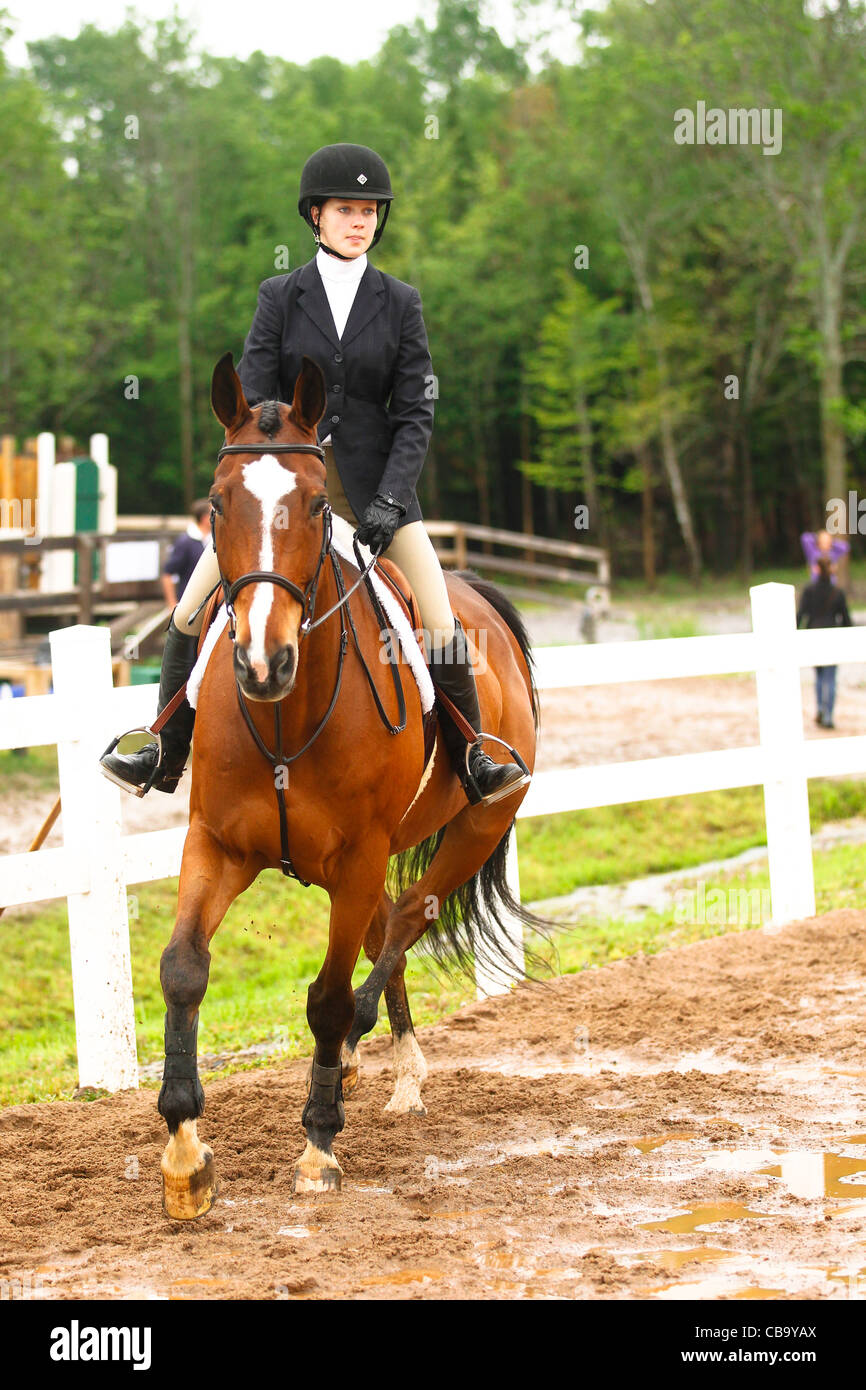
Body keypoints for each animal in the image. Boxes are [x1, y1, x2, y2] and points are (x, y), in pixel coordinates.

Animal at [157, 351, 540, 1218]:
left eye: (313, 503)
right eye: (218, 504)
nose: (261, 663)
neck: (285, 717)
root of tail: (480, 594)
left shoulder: (359, 857)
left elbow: (327, 999)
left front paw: (317, 1145)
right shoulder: (217, 843)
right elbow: (184, 968)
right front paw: (186, 1154)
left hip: (470, 833)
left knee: (406, 921)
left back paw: (381, 1063)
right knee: (387, 927)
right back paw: (382, 1068)